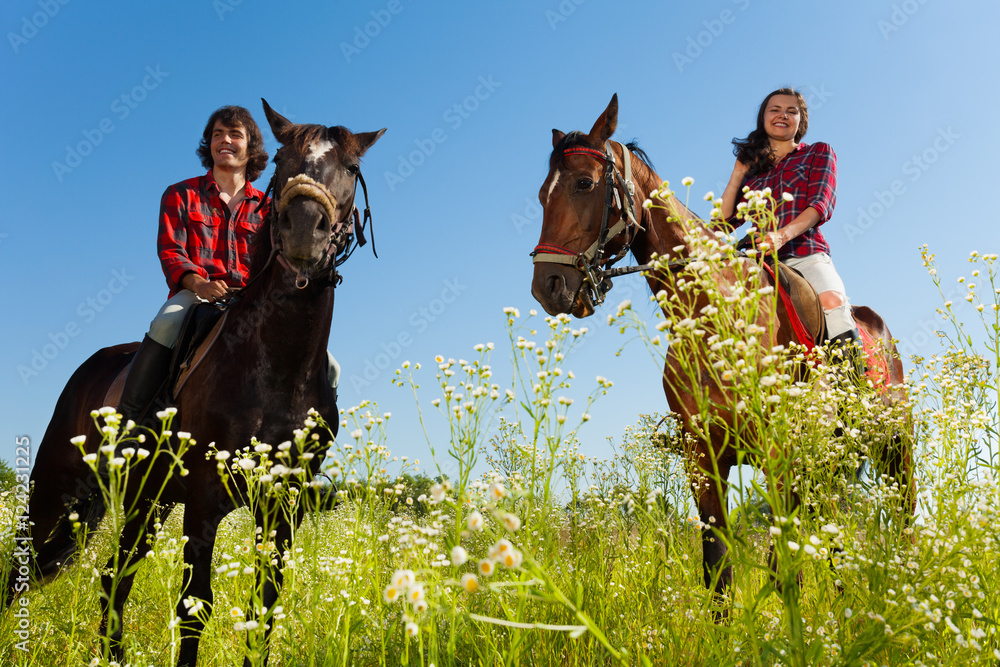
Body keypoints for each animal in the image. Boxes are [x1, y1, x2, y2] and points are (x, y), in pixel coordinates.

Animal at [6, 100, 382, 667]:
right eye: (281, 162)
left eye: (353, 168)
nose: (303, 231)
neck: (277, 365)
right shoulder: (205, 500)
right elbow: (194, 607)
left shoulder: (282, 509)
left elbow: (264, 607)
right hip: (55, 488)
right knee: (19, 571)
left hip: (149, 501)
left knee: (114, 578)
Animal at [532, 95, 916, 612]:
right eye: (541, 195)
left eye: (584, 183)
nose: (548, 287)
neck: (715, 322)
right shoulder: (704, 460)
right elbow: (717, 569)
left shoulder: (779, 454)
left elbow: (782, 569)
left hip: (894, 449)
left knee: (904, 522)